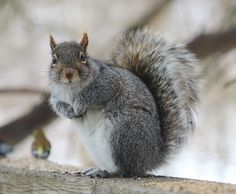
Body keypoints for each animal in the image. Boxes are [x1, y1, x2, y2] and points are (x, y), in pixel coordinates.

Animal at [48, 28, 200, 178]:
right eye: (54, 60)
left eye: (82, 57)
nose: (68, 73)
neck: (71, 88)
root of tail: (153, 157)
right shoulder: (56, 96)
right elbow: (57, 105)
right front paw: (68, 111)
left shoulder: (108, 81)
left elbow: (94, 93)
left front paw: (79, 104)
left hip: (122, 131)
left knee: (126, 170)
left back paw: (106, 173)